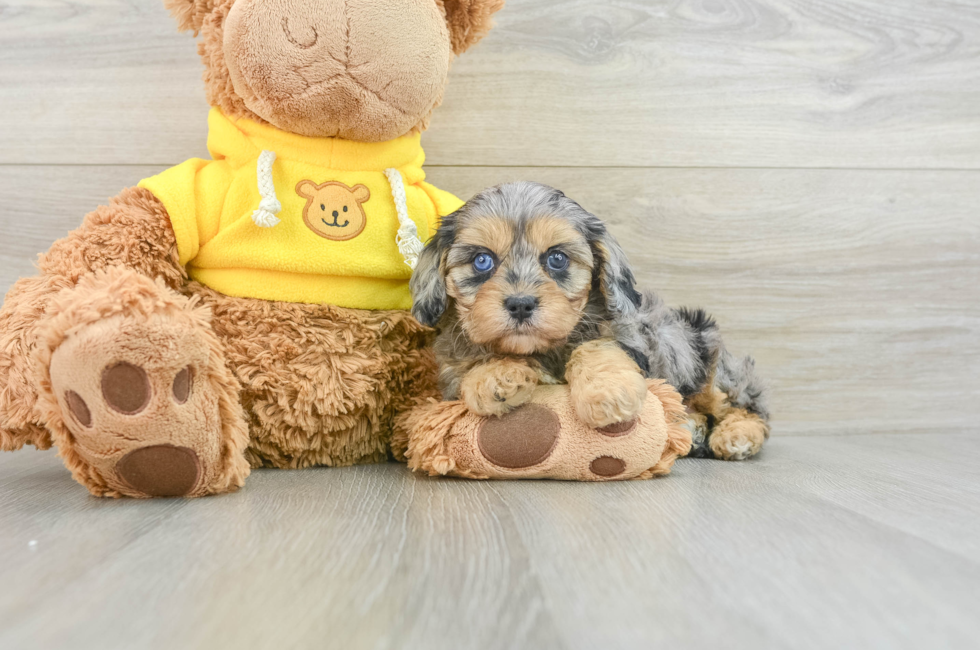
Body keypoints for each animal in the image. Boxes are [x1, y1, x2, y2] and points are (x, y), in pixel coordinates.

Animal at [410, 180, 768, 458]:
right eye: (482, 261)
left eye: (557, 258)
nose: (521, 304)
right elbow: (476, 361)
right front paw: (495, 376)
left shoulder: (630, 340)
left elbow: (596, 346)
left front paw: (607, 391)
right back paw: (692, 428)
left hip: (707, 361)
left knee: (747, 406)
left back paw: (736, 436)